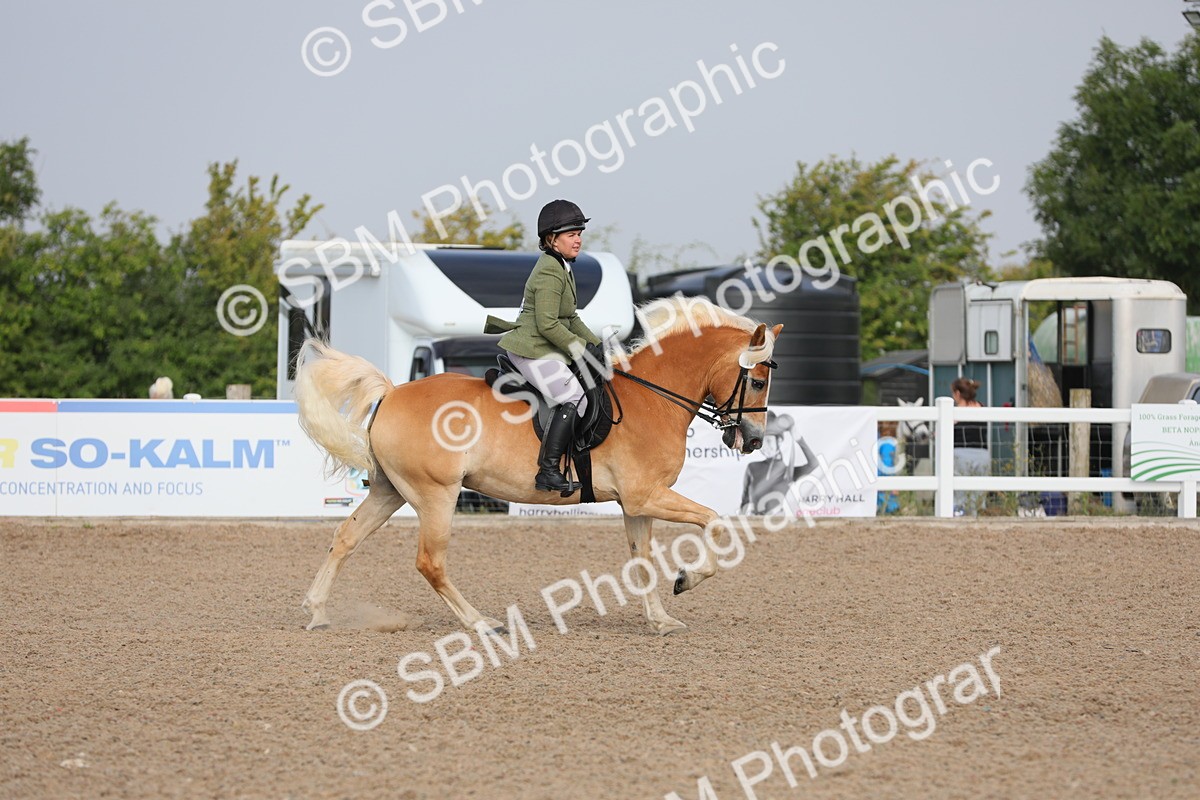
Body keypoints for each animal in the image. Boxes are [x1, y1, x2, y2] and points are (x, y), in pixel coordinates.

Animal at [295, 296, 783, 636]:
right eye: (758, 382)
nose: (754, 441)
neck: (653, 398)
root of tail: (393, 392)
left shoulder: (637, 504)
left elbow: (642, 561)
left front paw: (661, 621)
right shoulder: (647, 496)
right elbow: (715, 520)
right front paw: (687, 580)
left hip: (390, 491)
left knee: (346, 538)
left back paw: (317, 612)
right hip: (436, 495)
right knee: (430, 562)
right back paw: (482, 623)